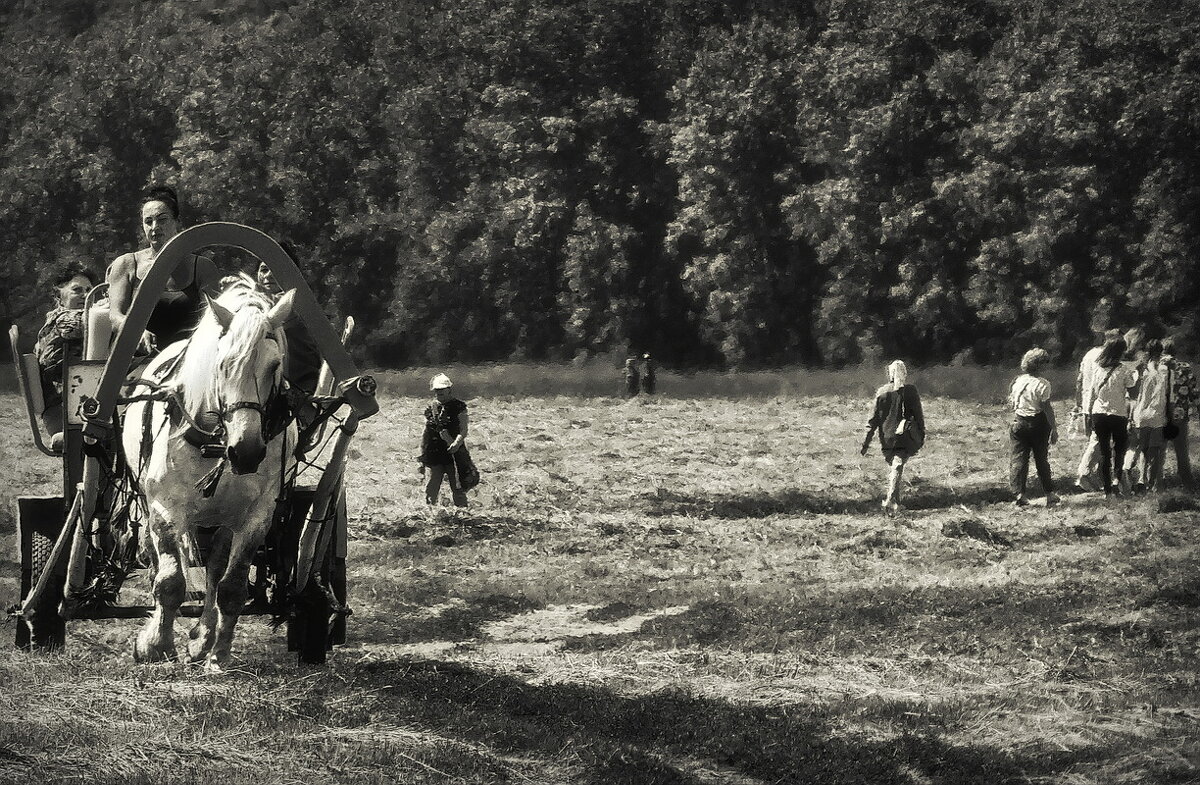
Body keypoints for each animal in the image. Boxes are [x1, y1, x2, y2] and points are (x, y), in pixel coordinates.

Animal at [122, 277, 297, 672]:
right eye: (222, 364)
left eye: (274, 365)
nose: (247, 450)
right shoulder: (164, 510)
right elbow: (169, 583)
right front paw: (156, 645)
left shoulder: (256, 518)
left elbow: (231, 588)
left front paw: (218, 652)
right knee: (156, 563)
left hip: (221, 521)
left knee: (216, 568)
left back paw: (204, 636)